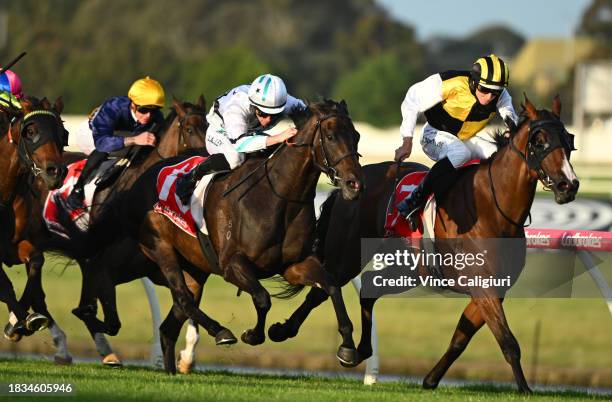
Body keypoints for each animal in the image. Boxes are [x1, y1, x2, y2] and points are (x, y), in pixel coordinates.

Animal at [0, 96, 67, 348]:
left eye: (63, 133)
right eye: (30, 131)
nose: (55, 171)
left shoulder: (15, 245)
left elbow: (36, 261)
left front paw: (22, 321)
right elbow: (4, 284)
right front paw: (19, 320)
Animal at [77, 98, 364, 374]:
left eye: (356, 136)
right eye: (330, 137)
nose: (354, 184)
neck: (279, 197)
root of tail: (141, 177)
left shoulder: (294, 264)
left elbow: (331, 286)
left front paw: (346, 347)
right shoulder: (232, 264)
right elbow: (262, 298)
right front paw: (253, 334)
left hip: (193, 267)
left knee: (171, 321)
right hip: (159, 246)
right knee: (178, 294)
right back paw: (220, 332)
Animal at [266, 95, 576, 392]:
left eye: (569, 140)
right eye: (539, 141)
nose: (568, 185)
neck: (494, 207)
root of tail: (350, 183)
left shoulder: (493, 289)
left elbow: (461, 338)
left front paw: (430, 380)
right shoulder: (482, 285)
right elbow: (508, 341)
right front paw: (524, 389)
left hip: (410, 269)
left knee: (367, 288)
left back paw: (359, 348)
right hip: (348, 256)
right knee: (322, 288)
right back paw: (291, 333)